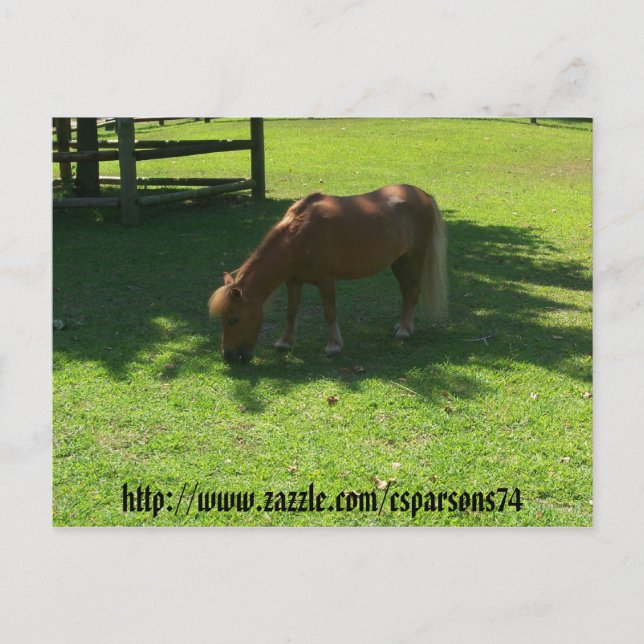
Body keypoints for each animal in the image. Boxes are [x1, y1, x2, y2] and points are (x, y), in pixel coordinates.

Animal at [208, 184, 447, 363]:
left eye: (233, 319)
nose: (227, 355)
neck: (301, 235)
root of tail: (423, 195)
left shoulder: (326, 281)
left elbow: (329, 312)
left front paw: (334, 346)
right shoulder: (293, 282)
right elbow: (291, 312)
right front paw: (285, 342)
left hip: (415, 257)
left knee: (413, 291)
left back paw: (404, 330)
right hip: (398, 261)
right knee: (406, 292)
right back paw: (403, 324)